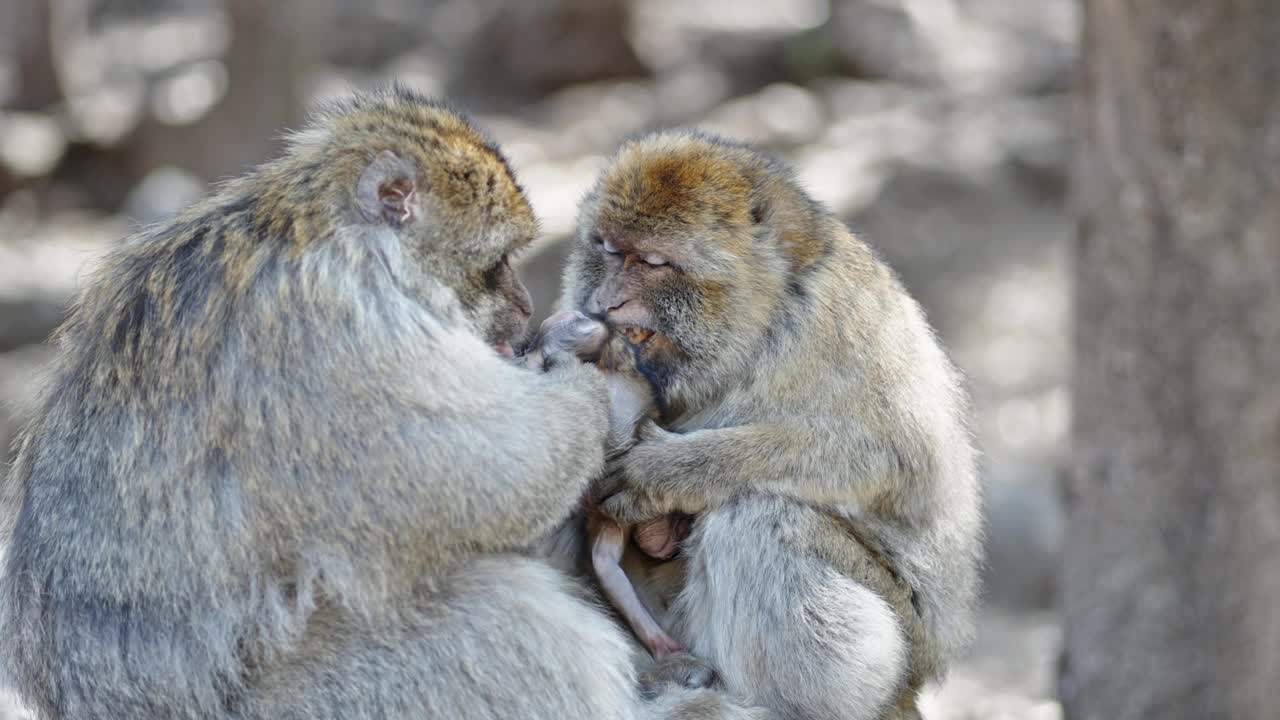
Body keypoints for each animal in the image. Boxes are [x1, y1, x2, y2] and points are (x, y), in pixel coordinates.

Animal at [560, 130, 977, 717]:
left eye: (653, 262)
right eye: (609, 251)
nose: (608, 301)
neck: (761, 317)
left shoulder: (836, 320)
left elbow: (888, 456)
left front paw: (666, 471)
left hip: (904, 645)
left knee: (760, 517)